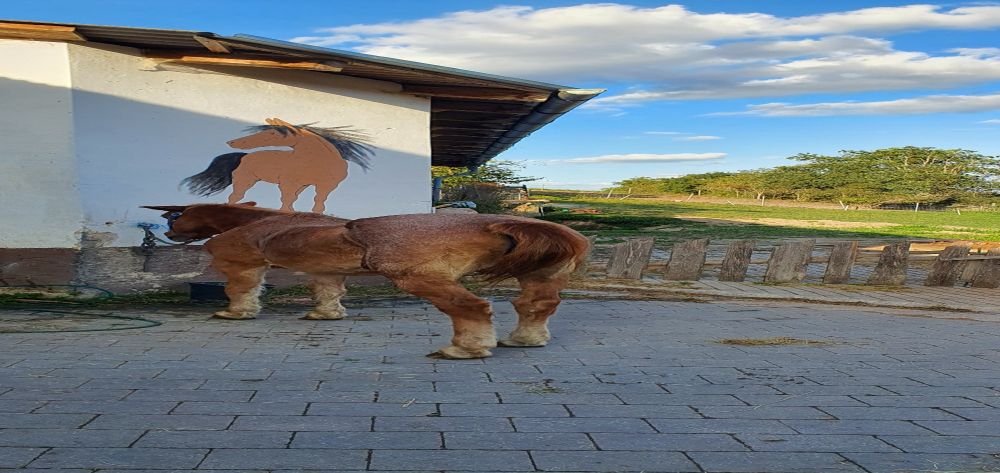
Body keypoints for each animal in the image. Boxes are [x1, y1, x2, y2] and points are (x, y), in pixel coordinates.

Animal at [141, 203, 591, 359]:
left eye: (177, 216)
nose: (168, 232)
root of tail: (494, 221)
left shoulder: (243, 264)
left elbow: (242, 289)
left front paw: (236, 313)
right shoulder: (326, 271)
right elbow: (326, 293)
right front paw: (324, 316)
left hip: (420, 278)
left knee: (471, 308)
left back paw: (464, 350)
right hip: (540, 276)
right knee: (536, 306)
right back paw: (525, 340)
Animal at [181, 118, 375, 213]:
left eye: (273, 133)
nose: (232, 142)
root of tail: (244, 156)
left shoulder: (325, 186)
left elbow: (318, 202)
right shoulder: (289, 183)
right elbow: (287, 200)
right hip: (244, 180)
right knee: (234, 197)